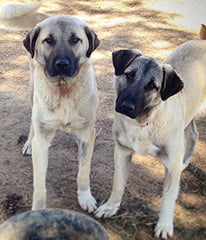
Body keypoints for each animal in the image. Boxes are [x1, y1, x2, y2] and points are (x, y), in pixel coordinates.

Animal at [0, 1, 100, 212]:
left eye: (75, 39)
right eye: (48, 40)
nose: (62, 64)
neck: (64, 91)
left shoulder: (87, 132)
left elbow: (83, 171)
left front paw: (85, 197)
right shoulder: (43, 139)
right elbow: (39, 184)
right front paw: (38, 210)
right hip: (32, 94)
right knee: (32, 122)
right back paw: (29, 142)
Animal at [96, 39, 206, 238]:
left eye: (152, 86)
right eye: (129, 75)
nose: (126, 107)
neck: (144, 123)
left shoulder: (171, 165)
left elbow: (168, 197)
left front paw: (164, 225)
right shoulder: (122, 152)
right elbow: (118, 184)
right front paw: (110, 207)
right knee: (194, 134)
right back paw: (185, 162)